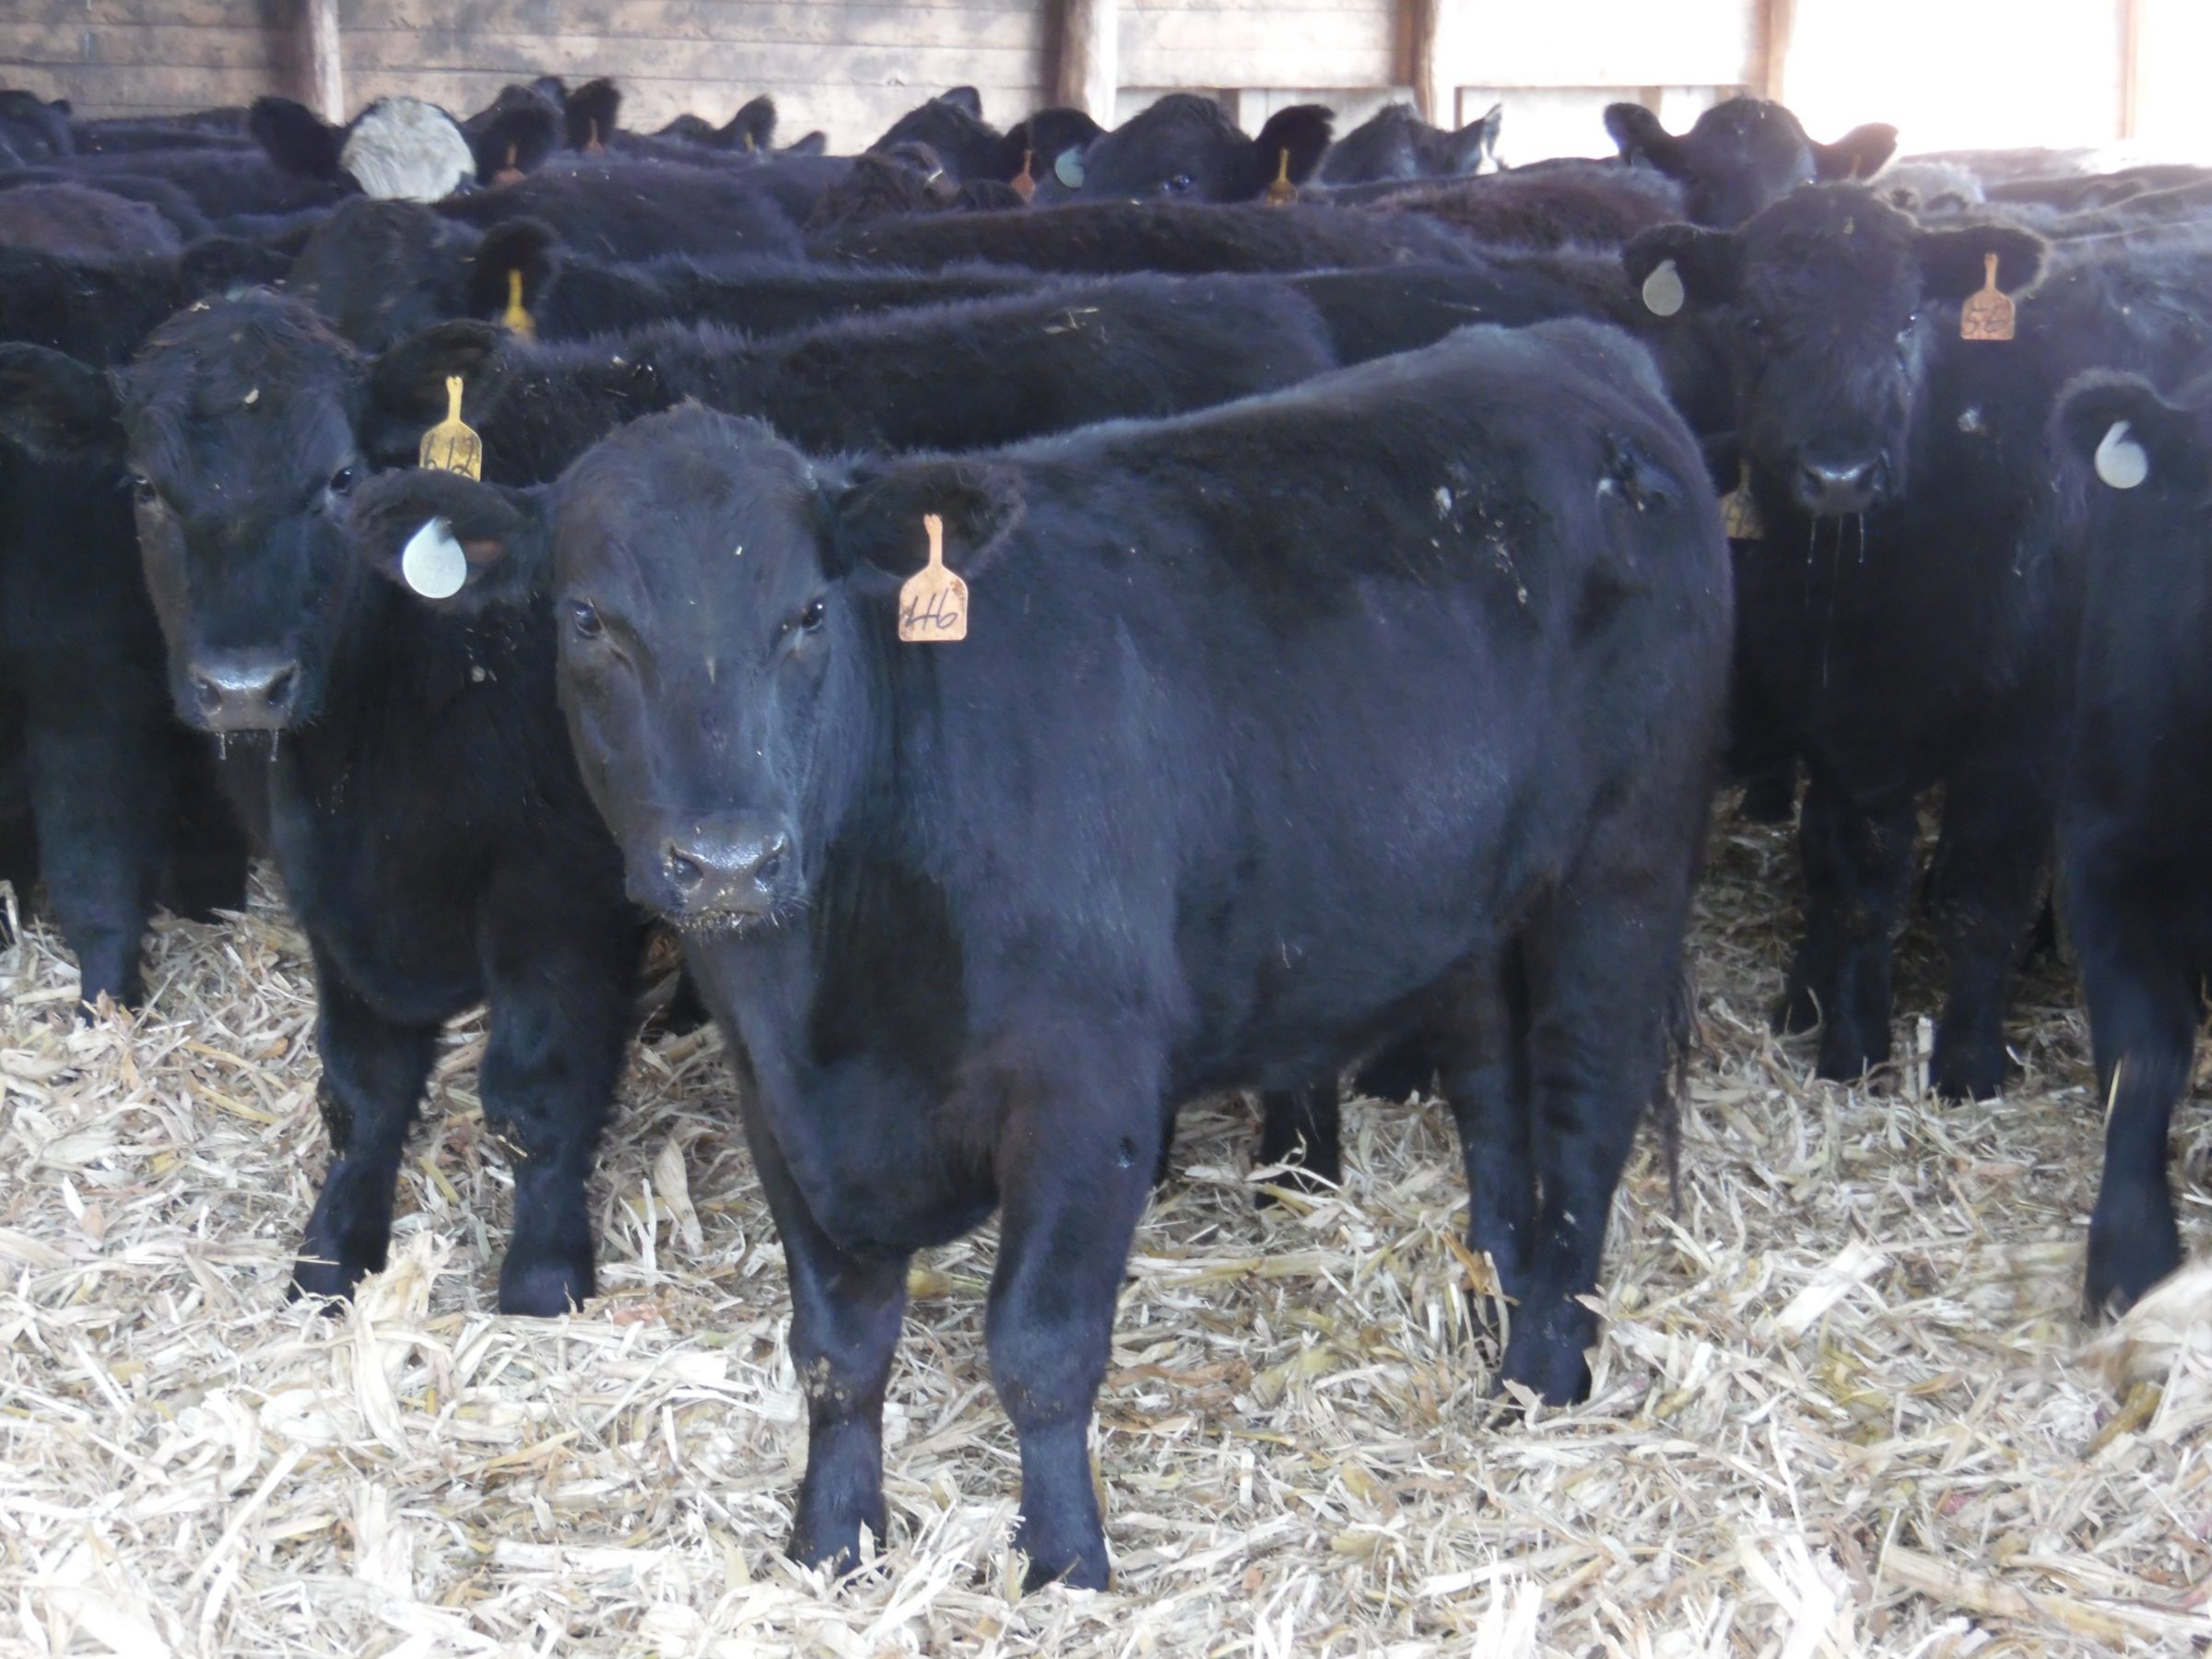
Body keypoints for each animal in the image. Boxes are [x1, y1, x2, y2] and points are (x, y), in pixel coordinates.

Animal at [343, 316, 1731, 1589]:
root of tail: (1571, 350)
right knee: (1493, 1091)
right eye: (587, 621)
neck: (835, 997)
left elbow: (1041, 1349)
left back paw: (1545, 1365)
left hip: (1624, 866)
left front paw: (1065, 1559)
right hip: (1472, 898)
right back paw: (1499, 1291)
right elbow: (835, 1348)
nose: (728, 861)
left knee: (1585, 1107)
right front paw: (832, 1539)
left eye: (807, 612)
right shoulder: (777, 1101)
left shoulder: (1088, 1092)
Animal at [1623, 185, 2212, 1099]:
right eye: (1755, 321)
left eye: (1907, 319)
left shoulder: (2022, 736)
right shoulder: (1843, 724)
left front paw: (1967, 1059)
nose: (1839, 473)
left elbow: (1982, 893)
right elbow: (1858, 882)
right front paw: (1851, 1040)